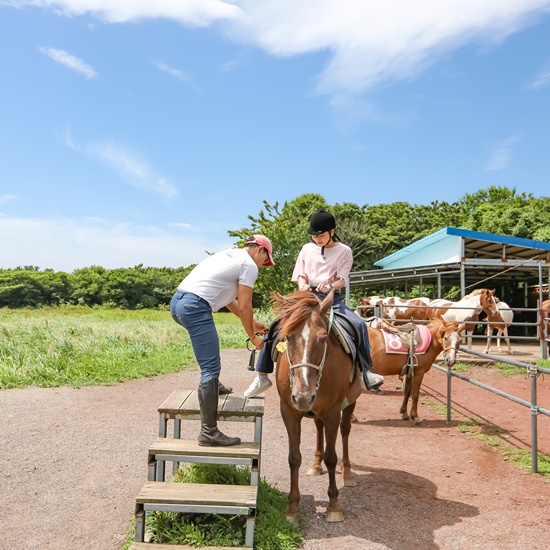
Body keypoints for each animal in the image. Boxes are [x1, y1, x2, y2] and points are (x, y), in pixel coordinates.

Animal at [274, 288, 362, 528]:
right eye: (288, 337)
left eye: (323, 339)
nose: (303, 396)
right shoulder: (289, 411)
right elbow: (293, 457)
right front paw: (292, 508)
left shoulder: (332, 412)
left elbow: (332, 457)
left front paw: (334, 506)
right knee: (318, 428)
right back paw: (315, 463)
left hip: (349, 404)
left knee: (345, 432)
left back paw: (348, 472)